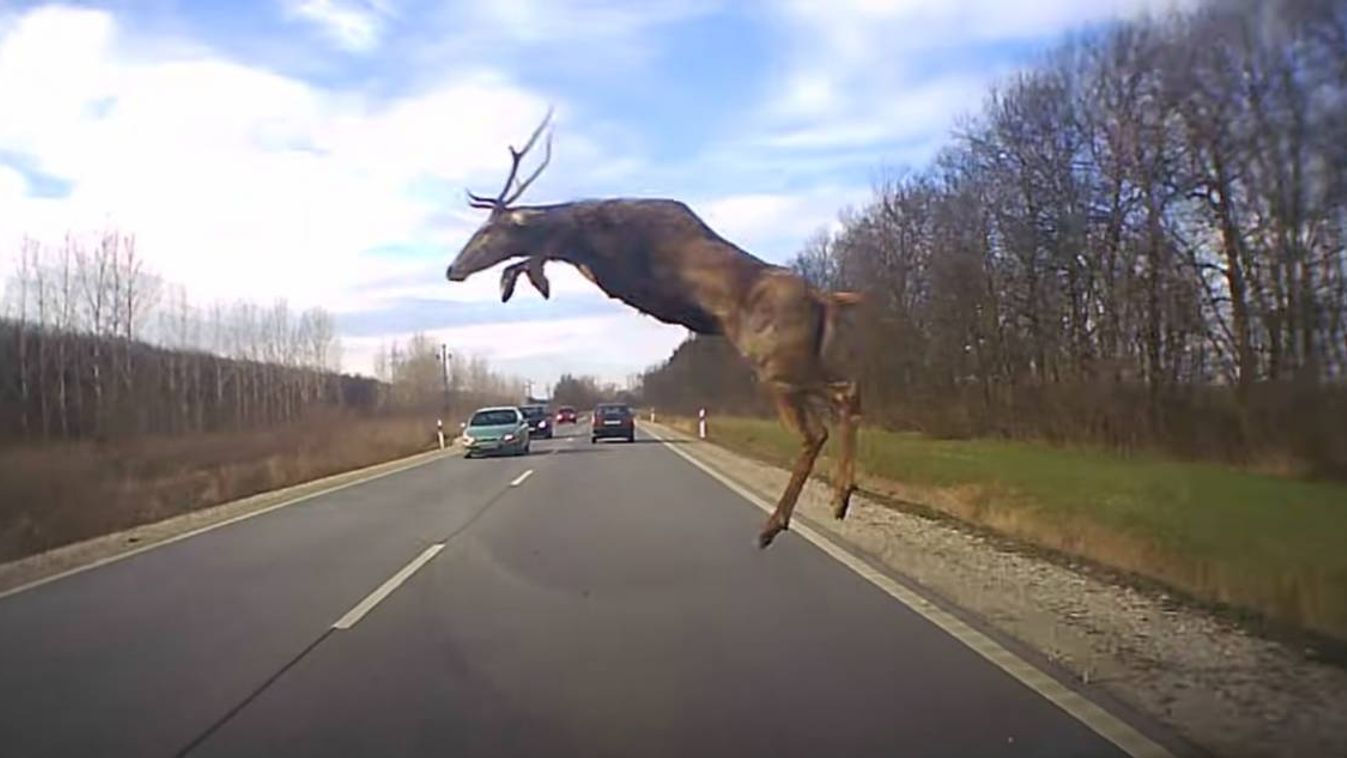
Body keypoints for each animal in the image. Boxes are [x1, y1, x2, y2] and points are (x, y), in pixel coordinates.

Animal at [441, 109, 862, 549]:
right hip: (800, 362)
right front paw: (525, 282)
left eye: (489, 231)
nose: (453, 268)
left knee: (819, 426)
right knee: (847, 393)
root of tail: (824, 298)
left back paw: (775, 524)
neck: (586, 228)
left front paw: (520, 282)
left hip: (777, 364)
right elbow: (536, 256)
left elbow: (533, 256)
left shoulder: (613, 266)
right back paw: (838, 497)